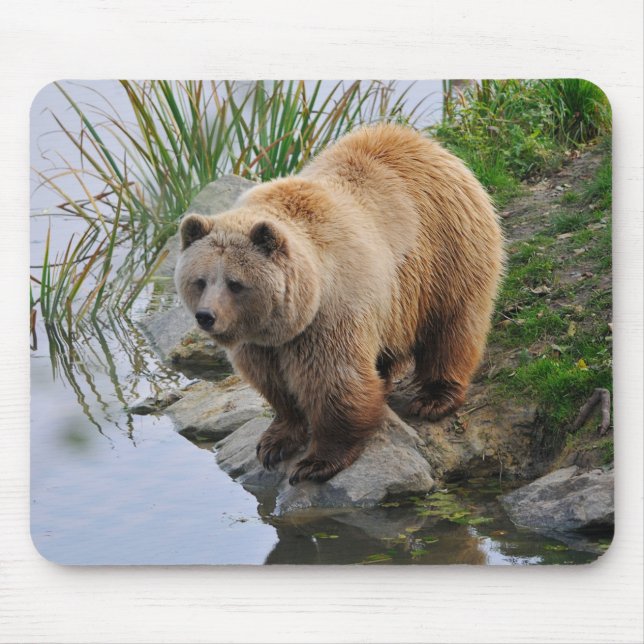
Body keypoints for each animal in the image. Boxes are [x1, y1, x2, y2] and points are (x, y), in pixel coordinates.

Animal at [175, 123, 504, 485]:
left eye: (235, 283)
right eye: (200, 280)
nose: (206, 316)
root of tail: (425, 142)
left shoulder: (329, 315)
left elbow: (334, 382)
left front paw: (316, 462)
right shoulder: (261, 343)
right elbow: (274, 384)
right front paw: (275, 442)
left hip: (445, 251)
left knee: (451, 326)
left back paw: (434, 398)